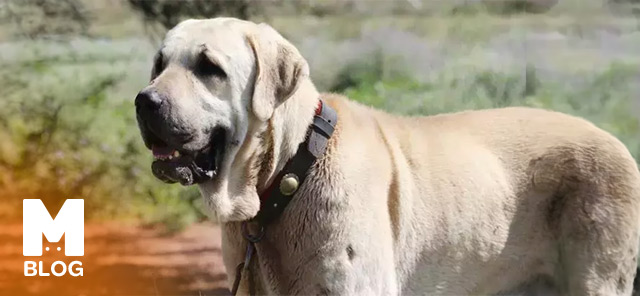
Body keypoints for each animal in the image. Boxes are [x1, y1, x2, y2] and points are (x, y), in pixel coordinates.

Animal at [134, 17, 640, 294]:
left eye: (210, 68)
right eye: (159, 64)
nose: (145, 101)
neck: (287, 174)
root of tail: (617, 142)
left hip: (596, 277)